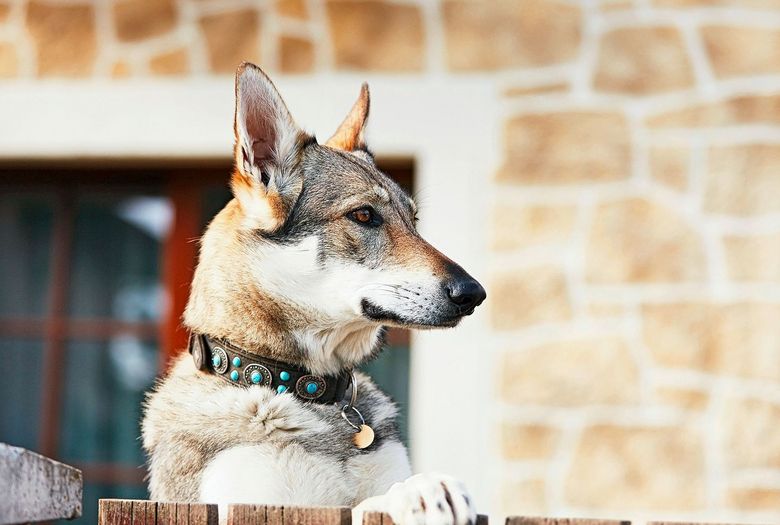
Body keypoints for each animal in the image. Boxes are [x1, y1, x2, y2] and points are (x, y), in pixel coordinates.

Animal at [137, 63, 484, 520]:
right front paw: (418, 493)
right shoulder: (252, 504)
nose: (474, 293)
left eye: (413, 221)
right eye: (364, 215)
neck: (307, 390)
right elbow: (366, 504)